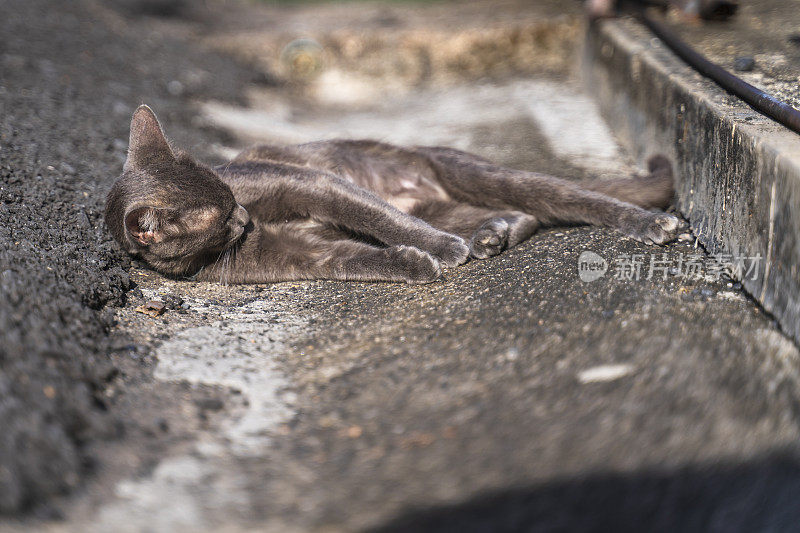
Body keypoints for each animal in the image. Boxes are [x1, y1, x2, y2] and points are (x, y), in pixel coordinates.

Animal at [104, 105, 680, 284]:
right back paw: (492, 235)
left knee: (562, 197)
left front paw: (439, 251)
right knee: (519, 213)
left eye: (231, 194)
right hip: (444, 203)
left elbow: (373, 219)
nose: (245, 215)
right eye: (222, 215)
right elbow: (354, 258)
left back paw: (654, 225)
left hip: (469, 173)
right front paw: (416, 264)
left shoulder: (308, 183)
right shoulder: (298, 256)